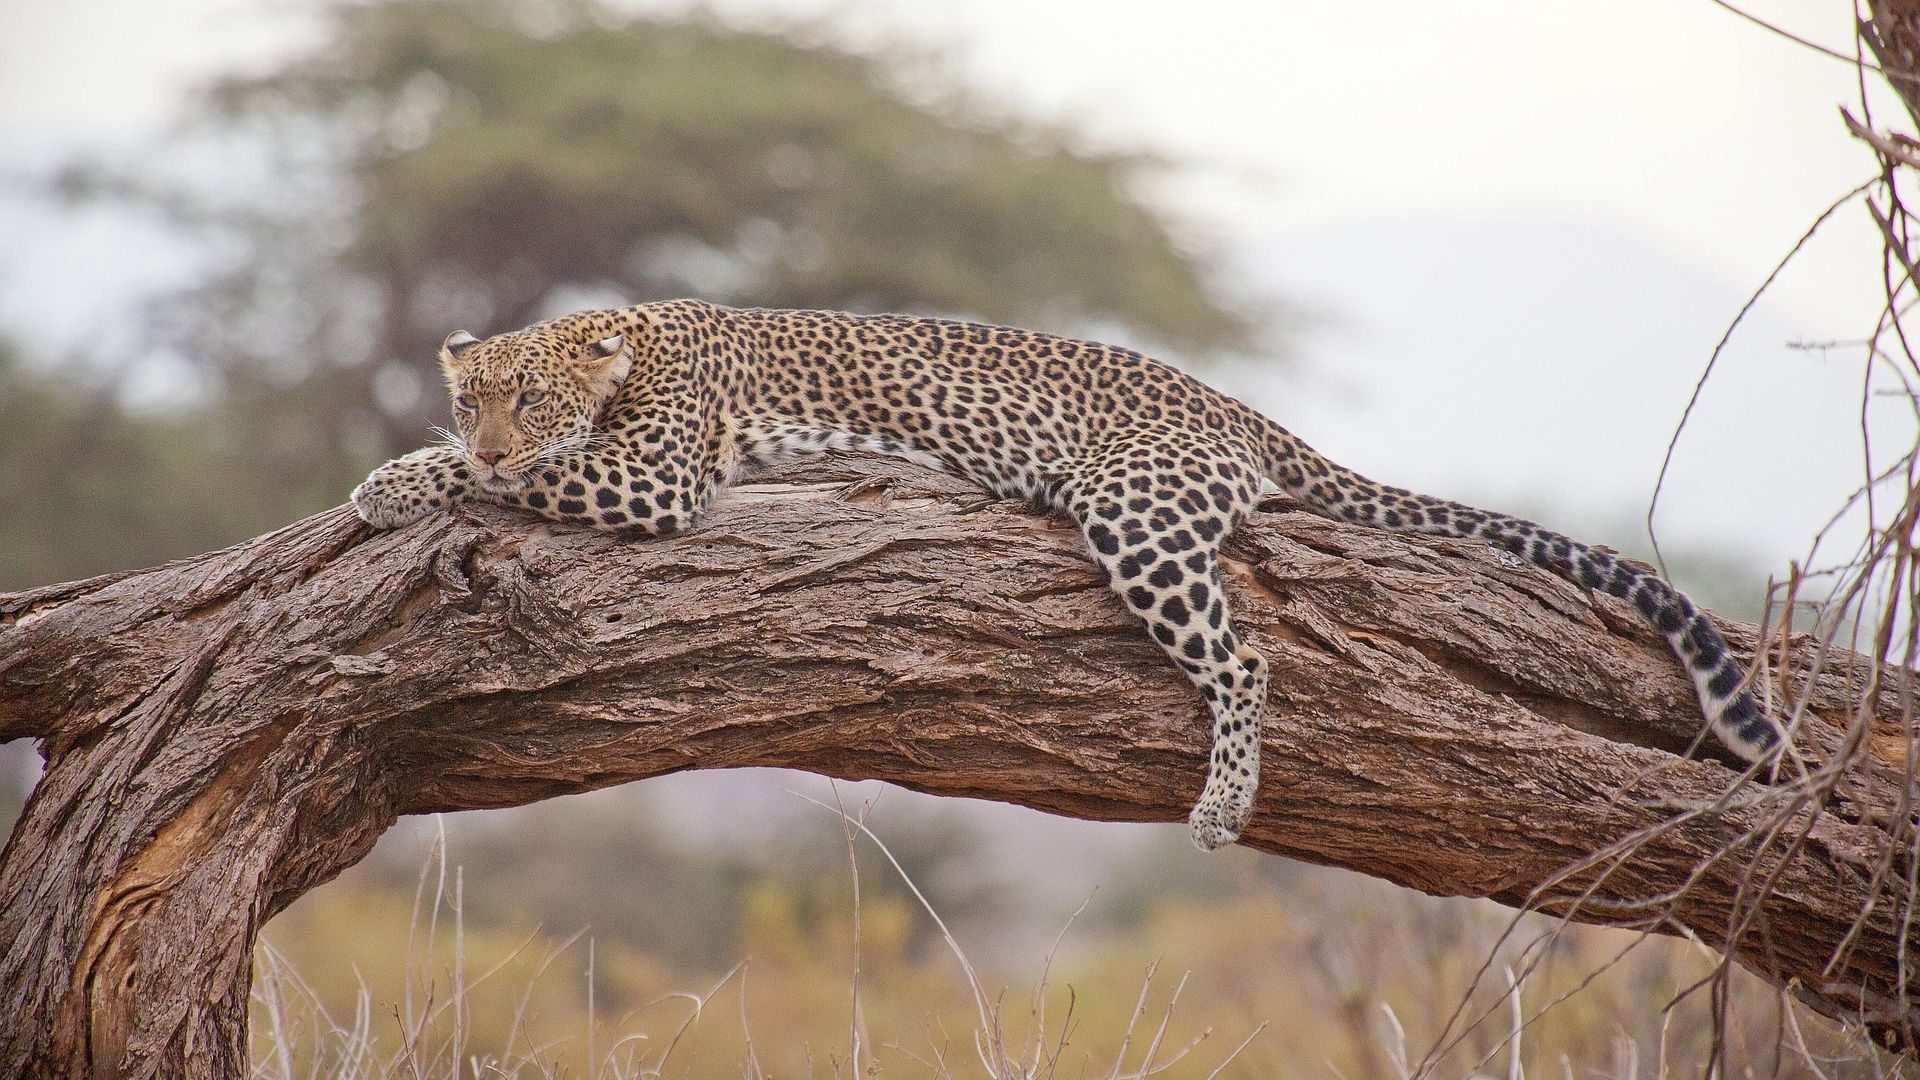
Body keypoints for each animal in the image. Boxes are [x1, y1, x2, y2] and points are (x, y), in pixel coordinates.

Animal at [352, 300, 1783, 849]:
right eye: (477, 395)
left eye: (530, 404)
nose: (489, 429)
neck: (628, 343)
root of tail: (1237, 408)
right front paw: (400, 470)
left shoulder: (653, 474)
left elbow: (512, 485)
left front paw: (408, 482)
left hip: (1133, 510)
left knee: (1244, 654)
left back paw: (1221, 806)